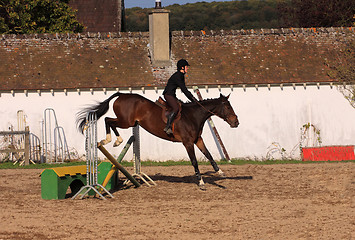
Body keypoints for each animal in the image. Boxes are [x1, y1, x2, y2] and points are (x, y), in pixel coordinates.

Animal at [76, 91, 241, 189]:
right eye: (227, 107)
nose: (236, 122)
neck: (193, 116)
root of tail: (122, 94)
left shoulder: (197, 139)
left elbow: (209, 155)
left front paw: (220, 172)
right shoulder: (188, 142)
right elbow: (194, 161)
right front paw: (200, 182)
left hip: (130, 123)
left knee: (108, 120)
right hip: (126, 122)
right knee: (108, 120)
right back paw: (113, 140)